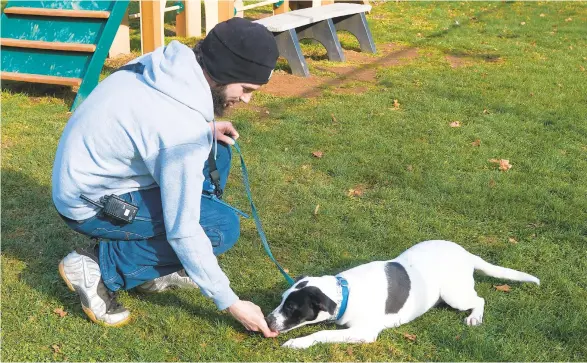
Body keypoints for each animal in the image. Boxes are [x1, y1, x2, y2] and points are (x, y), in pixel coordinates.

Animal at [268, 239, 544, 350]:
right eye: (281, 300)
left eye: (292, 308)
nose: (268, 320)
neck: (344, 291)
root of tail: (467, 254)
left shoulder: (364, 332)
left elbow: (322, 333)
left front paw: (298, 343)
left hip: (454, 294)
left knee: (479, 299)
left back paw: (475, 317)